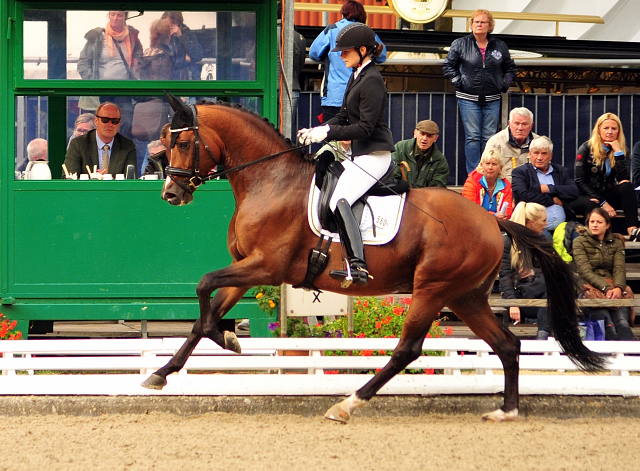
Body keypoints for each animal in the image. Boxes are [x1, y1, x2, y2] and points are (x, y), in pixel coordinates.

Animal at [141, 94, 604, 422]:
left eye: (184, 142)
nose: (171, 194)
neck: (269, 180)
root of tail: (491, 219)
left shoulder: (266, 267)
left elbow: (203, 286)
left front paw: (225, 340)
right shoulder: (247, 270)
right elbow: (204, 312)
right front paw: (167, 370)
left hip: (433, 288)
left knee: (408, 349)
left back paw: (348, 404)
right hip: (465, 296)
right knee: (507, 344)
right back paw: (506, 410)